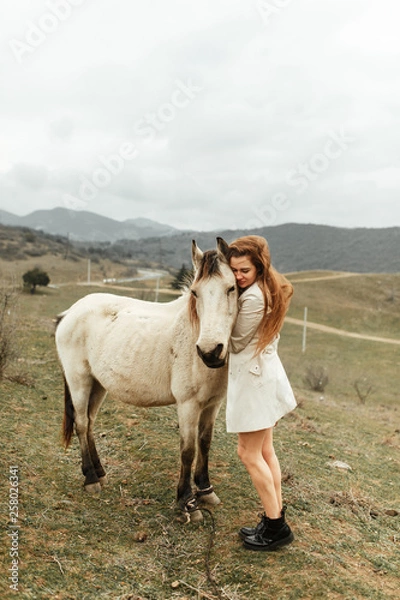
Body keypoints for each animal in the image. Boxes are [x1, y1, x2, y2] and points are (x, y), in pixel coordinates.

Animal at [55, 237, 238, 524]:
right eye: (195, 292)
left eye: (231, 288)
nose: (210, 351)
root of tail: (69, 314)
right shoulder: (188, 405)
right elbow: (188, 450)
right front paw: (187, 502)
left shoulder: (213, 404)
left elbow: (205, 443)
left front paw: (206, 491)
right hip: (79, 380)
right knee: (82, 423)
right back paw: (91, 479)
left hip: (98, 384)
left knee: (91, 422)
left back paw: (100, 472)